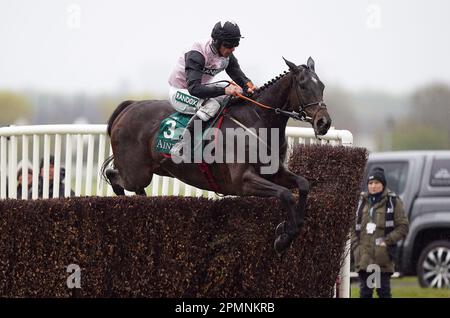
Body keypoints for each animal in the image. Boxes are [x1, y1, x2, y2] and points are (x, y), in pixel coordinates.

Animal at [103, 57, 334, 255]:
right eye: (303, 86)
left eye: (322, 86)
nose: (324, 122)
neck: (257, 121)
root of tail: (130, 106)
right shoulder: (242, 182)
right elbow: (285, 194)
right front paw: (283, 237)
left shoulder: (274, 172)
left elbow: (303, 185)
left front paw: (288, 230)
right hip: (136, 173)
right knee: (114, 176)